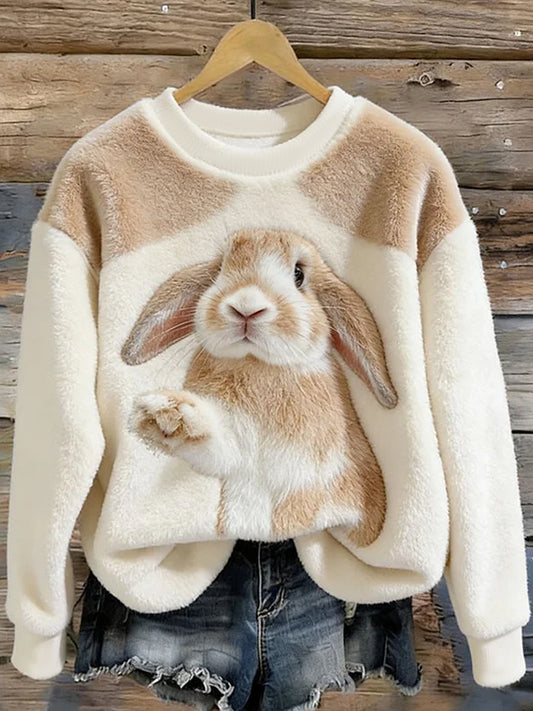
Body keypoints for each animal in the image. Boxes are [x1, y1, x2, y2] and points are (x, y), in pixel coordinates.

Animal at [121, 228, 398, 547]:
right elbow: (216, 445)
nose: (246, 307)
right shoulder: (233, 446)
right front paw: (163, 415)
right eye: (220, 269)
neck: (257, 364)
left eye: (299, 275)